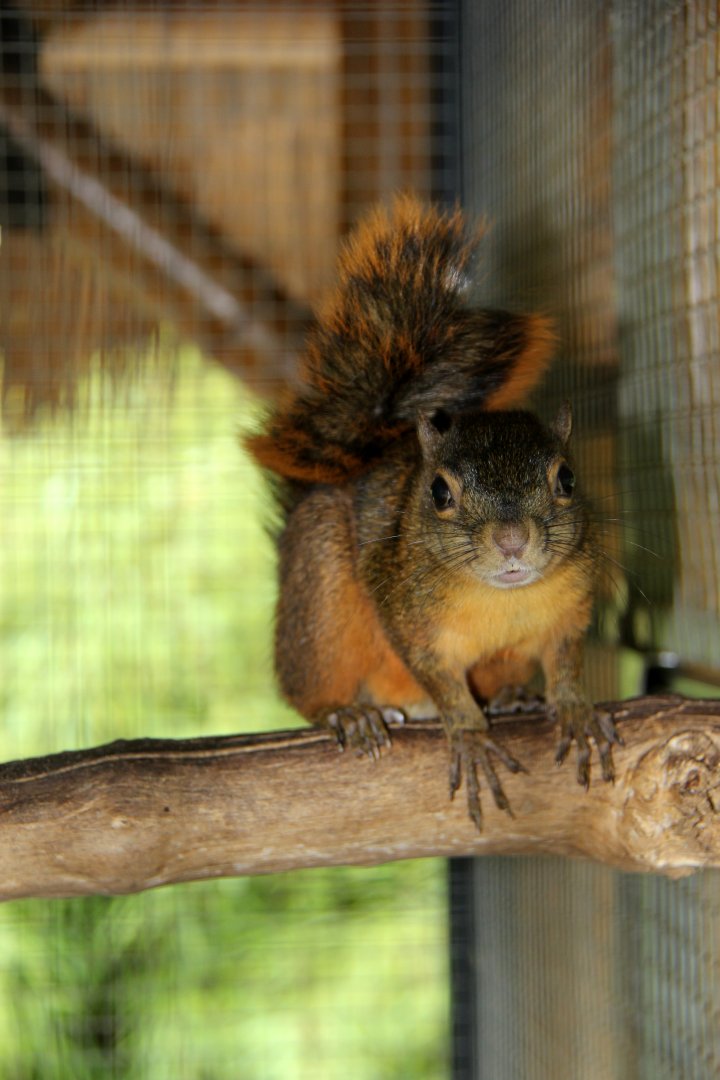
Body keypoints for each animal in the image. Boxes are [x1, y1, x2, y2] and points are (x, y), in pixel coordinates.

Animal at [247, 194, 620, 829]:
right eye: (440, 493)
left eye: (567, 478)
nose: (513, 539)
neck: (503, 600)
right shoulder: (408, 615)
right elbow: (439, 677)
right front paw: (469, 734)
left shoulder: (570, 610)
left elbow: (567, 661)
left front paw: (572, 708)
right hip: (319, 601)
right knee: (311, 686)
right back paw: (347, 713)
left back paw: (516, 696)